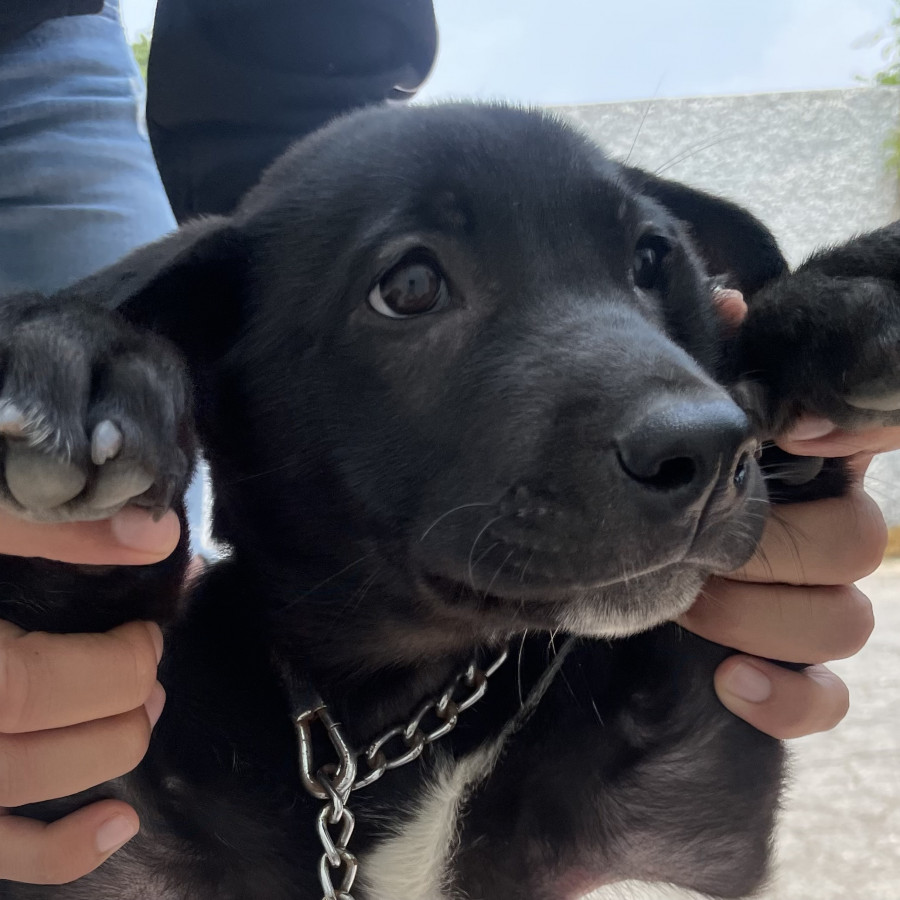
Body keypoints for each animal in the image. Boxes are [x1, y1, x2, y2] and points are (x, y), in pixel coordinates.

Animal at [0, 105, 892, 900]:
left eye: (650, 259)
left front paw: (841, 299)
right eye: (410, 287)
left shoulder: (685, 805)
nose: (708, 449)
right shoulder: (104, 838)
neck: (384, 728)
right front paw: (78, 357)